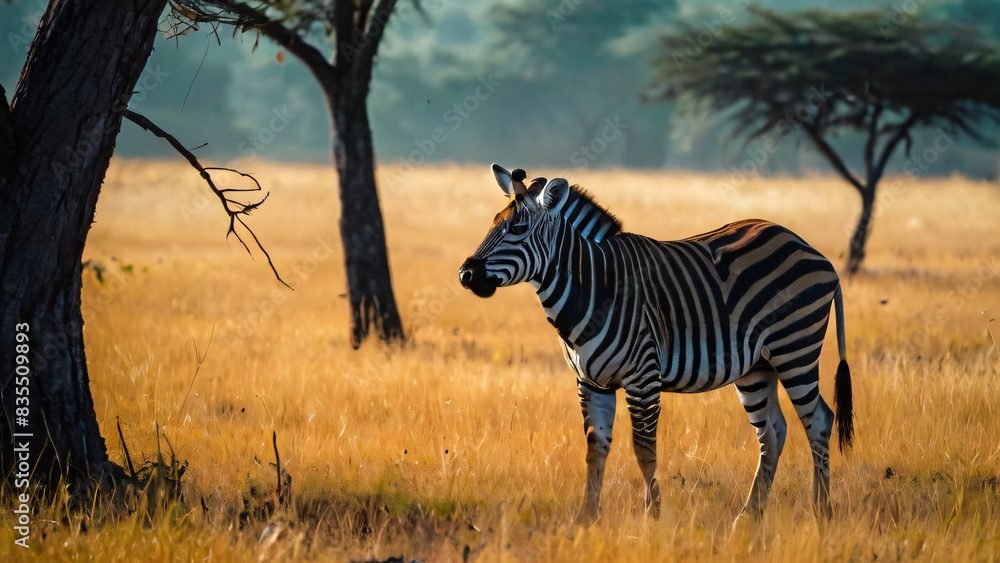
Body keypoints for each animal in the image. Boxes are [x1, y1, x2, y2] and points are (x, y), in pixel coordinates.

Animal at [459, 164, 853, 525]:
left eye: (517, 229)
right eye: (493, 223)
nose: (466, 274)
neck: (595, 287)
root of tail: (807, 246)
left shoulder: (642, 377)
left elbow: (644, 450)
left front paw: (653, 518)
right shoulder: (590, 382)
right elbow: (595, 449)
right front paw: (587, 520)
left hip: (795, 349)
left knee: (818, 421)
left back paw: (822, 513)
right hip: (757, 367)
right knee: (773, 432)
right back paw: (749, 517)